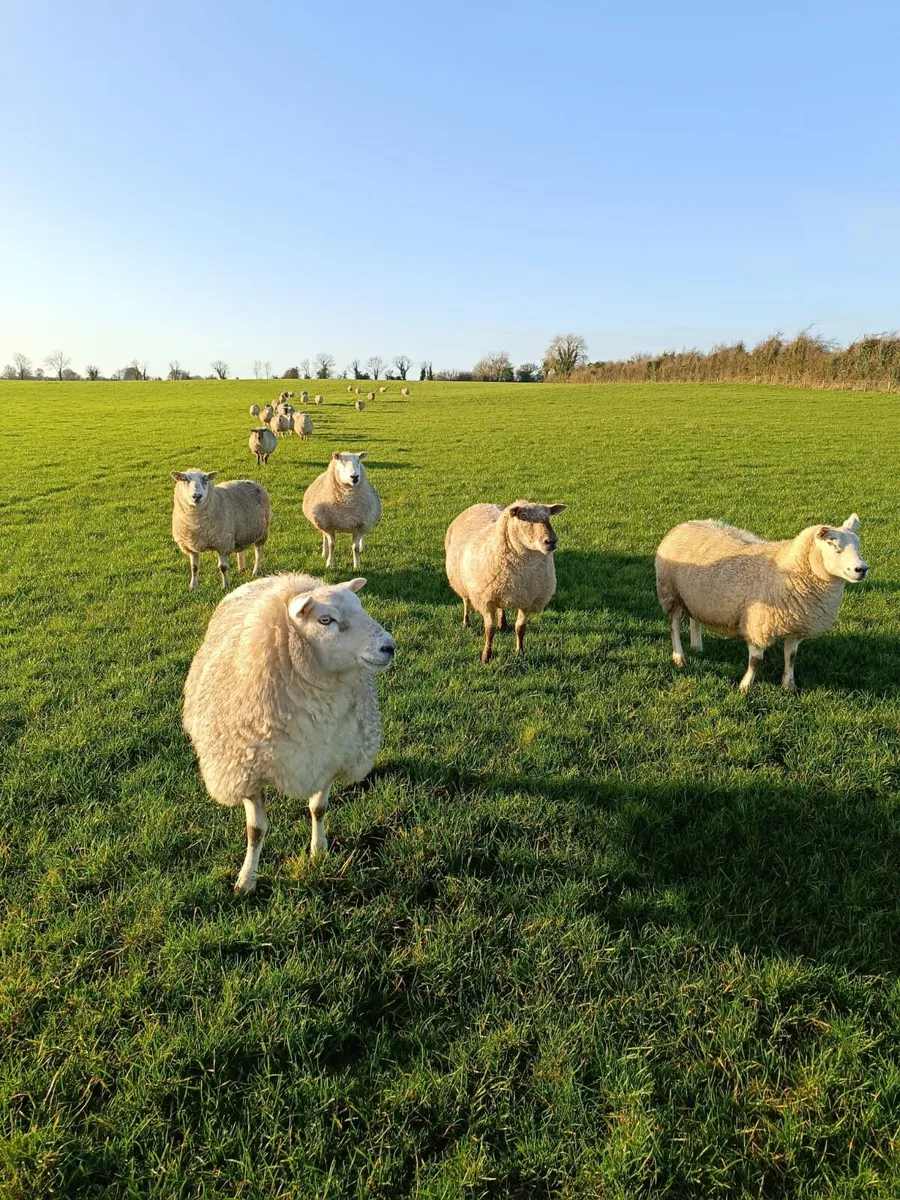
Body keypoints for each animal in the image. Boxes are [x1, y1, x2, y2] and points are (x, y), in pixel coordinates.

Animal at [182, 573, 395, 894]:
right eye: (325, 620)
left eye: (360, 606)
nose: (389, 646)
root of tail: (271, 577)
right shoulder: (247, 771)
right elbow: (256, 831)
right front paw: (247, 880)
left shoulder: (330, 756)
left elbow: (319, 808)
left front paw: (319, 850)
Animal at [445, 501, 567, 663]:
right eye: (523, 517)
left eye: (549, 516)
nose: (551, 541)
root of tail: (480, 504)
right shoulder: (487, 600)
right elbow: (490, 630)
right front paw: (486, 657)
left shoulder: (527, 600)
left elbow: (520, 628)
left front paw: (520, 651)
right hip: (462, 581)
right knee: (466, 601)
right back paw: (466, 622)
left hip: (502, 589)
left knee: (501, 607)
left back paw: (503, 624)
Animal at [655, 515, 868, 692]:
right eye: (833, 544)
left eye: (858, 544)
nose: (862, 569)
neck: (789, 568)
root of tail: (683, 524)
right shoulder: (758, 624)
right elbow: (756, 661)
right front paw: (745, 686)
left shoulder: (796, 627)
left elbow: (791, 657)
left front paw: (789, 685)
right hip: (671, 594)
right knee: (674, 626)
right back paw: (679, 657)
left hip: (695, 597)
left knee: (695, 619)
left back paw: (697, 646)